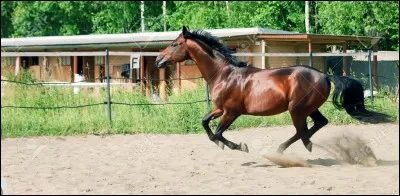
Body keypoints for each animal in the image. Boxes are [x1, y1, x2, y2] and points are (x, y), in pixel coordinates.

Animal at [155, 26, 388, 155]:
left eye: (174, 44)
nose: (158, 60)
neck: (224, 74)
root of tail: (323, 75)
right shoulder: (219, 109)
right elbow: (205, 123)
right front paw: (221, 144)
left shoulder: (231, 112)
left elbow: (220, 132)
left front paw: (240, 147)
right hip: (308, 108)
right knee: (318, 124)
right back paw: (299, 148)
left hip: (297, 110)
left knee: (303, 131)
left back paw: (289, 150)